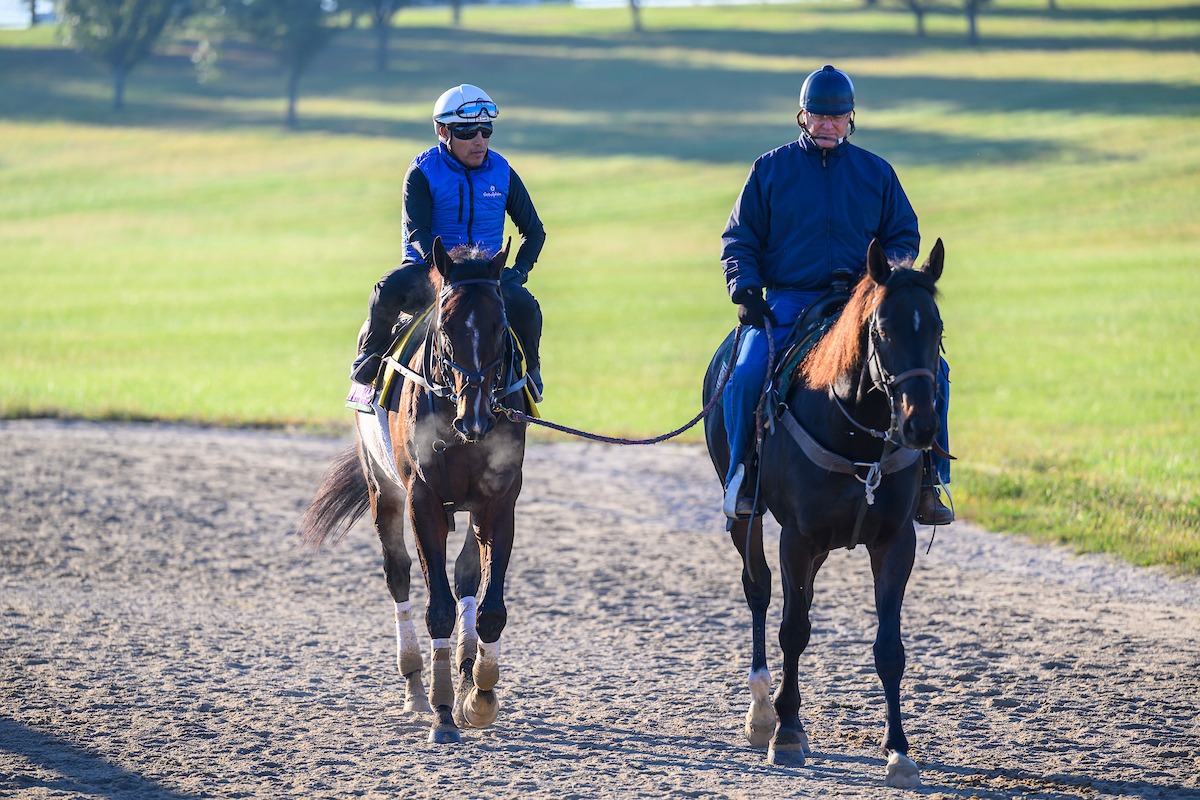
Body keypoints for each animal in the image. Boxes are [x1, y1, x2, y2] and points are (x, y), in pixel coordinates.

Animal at [298, 237, 530, 744]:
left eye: (501, 325)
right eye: (446, 325)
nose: (476, 417)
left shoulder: (498, 502)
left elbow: (488, 607)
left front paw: (478, 696)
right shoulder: (423, 502)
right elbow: (437, 607)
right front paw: (443, 711)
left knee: (464, 576)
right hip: (382, 488)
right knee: (398, 574)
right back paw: (416, 689)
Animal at [702, 238, 945, 788]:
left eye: (936, 327)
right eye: (882, 329)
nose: (920, 426)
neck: (854, 431)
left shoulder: (894, 542)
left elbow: (889, 648)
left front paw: (898, 750)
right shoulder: (797, 537)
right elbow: (793, 629)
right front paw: (787, 733)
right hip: (746, 520)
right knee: (760, 591)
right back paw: (762, 711)